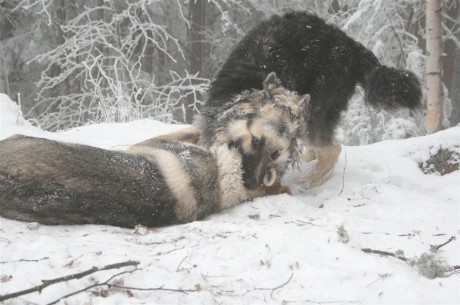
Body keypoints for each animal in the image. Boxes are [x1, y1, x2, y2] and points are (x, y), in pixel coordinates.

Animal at [0, 75, 310, 227]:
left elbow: (185, 131)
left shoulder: (148, 145)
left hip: (17, 139)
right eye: (259, 145)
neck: (227, 177)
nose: (254, 181)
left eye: (273, 154)